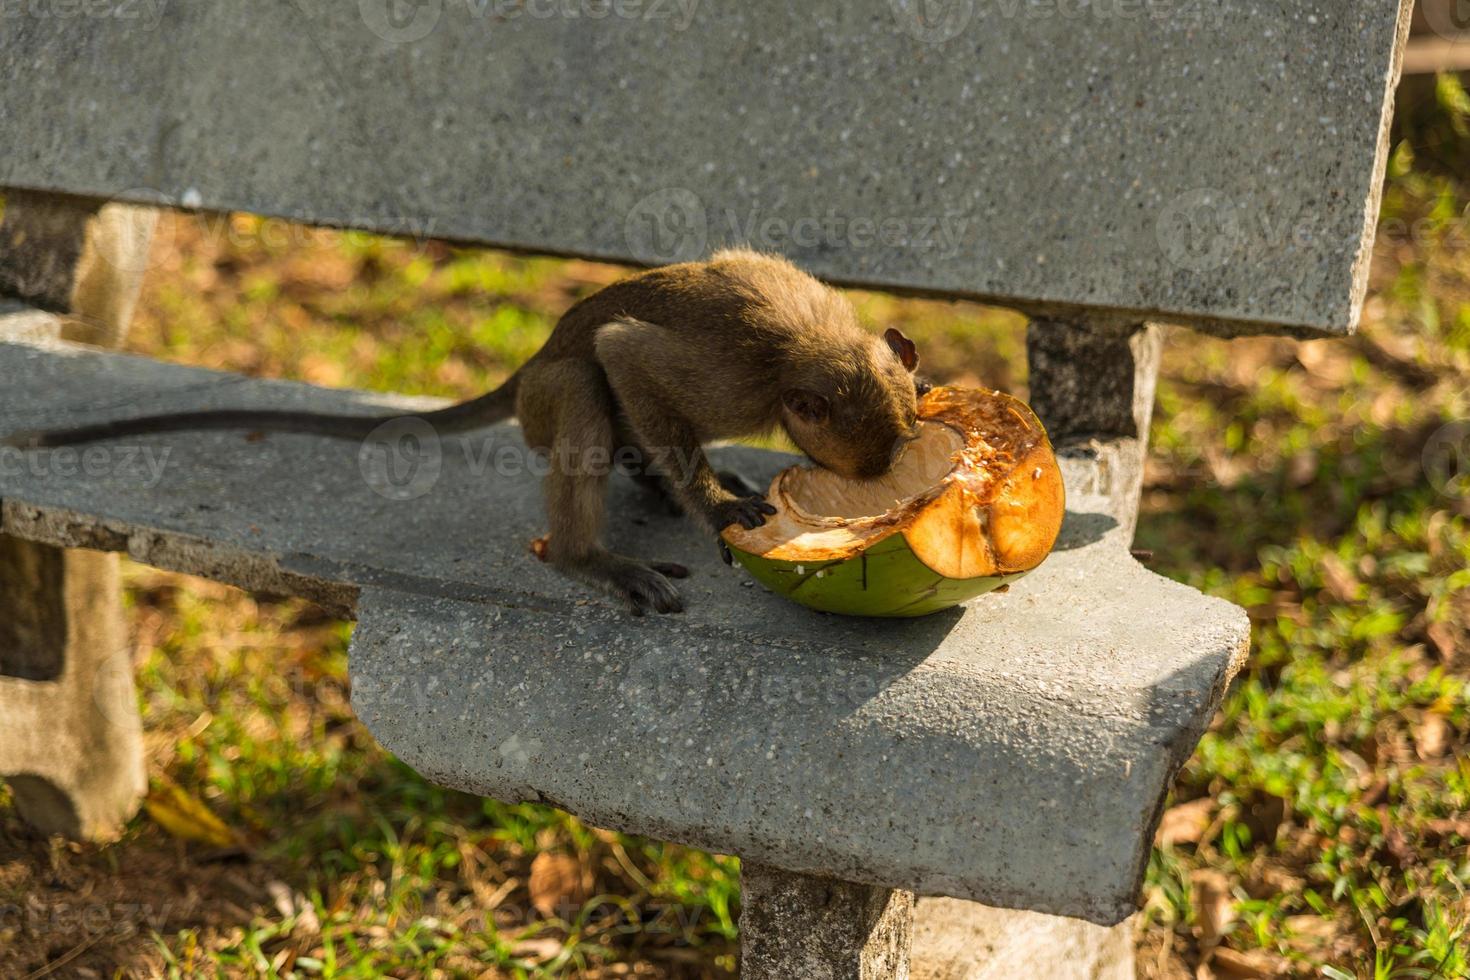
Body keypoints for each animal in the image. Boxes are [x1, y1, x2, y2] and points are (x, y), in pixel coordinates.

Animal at [11, 246, 923, 614]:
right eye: (868, 469)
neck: (811, 342)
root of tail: (527, 365)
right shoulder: (737, 380)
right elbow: (623, 354)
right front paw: (715, 506)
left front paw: (696, 487)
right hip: (546, 399)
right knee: (584, 385)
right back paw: (587, 555)